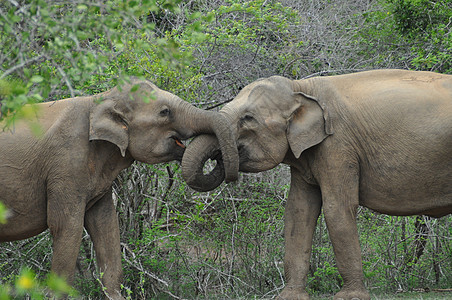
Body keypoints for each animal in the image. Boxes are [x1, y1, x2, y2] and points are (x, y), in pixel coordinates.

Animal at [0, 78, 238, 298]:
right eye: (165, 112)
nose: (218, 156)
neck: (101, 99)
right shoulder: (65, 166)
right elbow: (65, 226)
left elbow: (105, 224)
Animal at [181, 69, 452, 298]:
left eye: (247, 119)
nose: (219, 159)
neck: (301, 87)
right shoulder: (308, 157)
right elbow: (298, 211)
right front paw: (289, 296)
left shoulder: (338, 146)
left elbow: (337, 209)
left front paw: (350, 297)